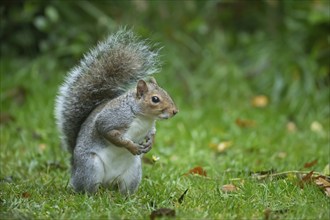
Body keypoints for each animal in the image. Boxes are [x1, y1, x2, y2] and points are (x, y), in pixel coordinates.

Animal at [54, 29, 178, 194]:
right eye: (155, 99)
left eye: (166, 93)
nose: (175, 111)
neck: (144, 117)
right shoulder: (113, 118)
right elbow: (109, 132)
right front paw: (131, 146)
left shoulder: (150, 126)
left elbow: (152, 133)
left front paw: (150, 143)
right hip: (91, 167)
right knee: (88, 188)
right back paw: (92, 195)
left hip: (132, 172)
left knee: (125, 189)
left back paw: (128, 197)